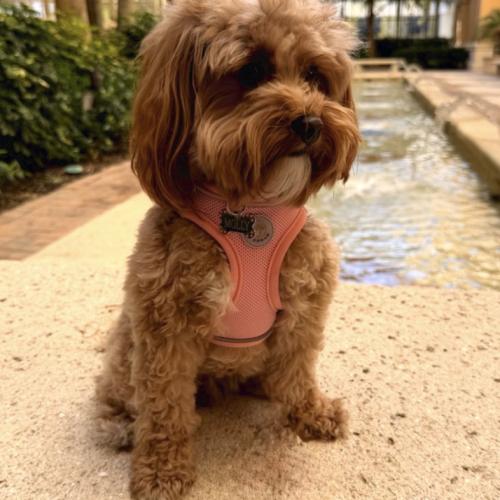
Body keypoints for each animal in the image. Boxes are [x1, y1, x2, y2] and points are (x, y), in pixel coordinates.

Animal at [95, 0, 360, 498]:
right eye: (251, 70)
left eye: (315, 75)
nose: (311, 122)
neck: (251, 209)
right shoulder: (164, 326)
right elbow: (164, 407)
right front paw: (161, 471)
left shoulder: (305, 303)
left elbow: (299, 368)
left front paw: (310, 412)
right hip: (125, 343)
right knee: (118, 392)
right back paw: (118, 424)